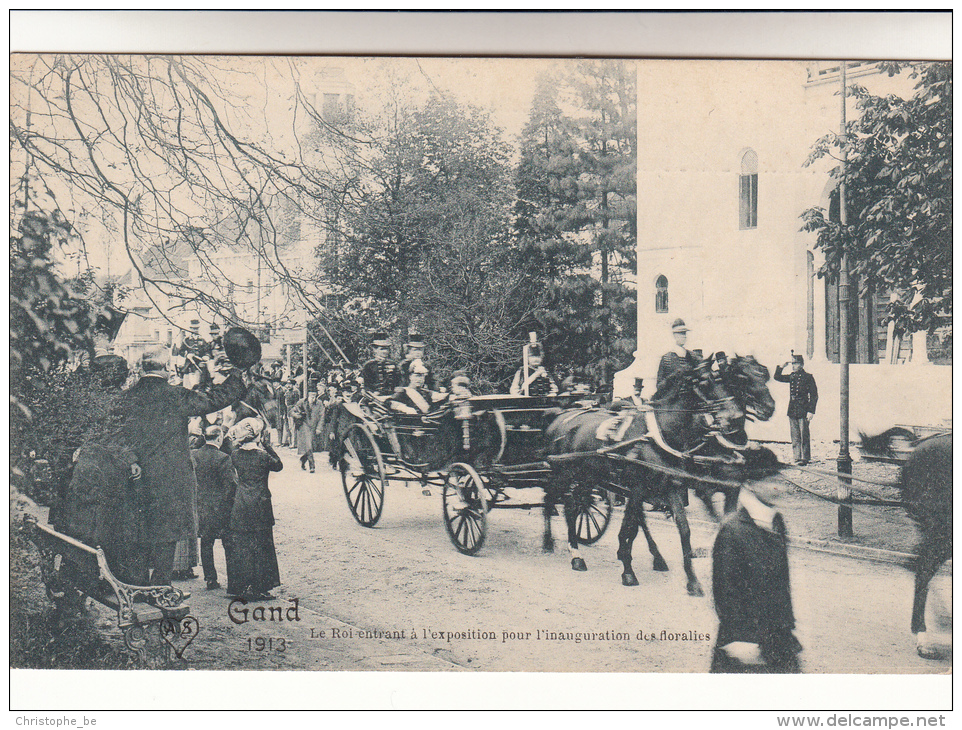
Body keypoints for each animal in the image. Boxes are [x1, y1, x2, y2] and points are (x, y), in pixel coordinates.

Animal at [540, 356, 744, 596]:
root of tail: (560, 416)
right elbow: (629, 527)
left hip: (588, 477)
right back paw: (558, 546)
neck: (657, 435)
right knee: (552, 499)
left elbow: (682, 529)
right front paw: (628, 570)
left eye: (720, 378)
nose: (735, 416)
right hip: (563, 474)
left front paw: (692, 581)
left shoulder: (670, 487)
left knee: (574, 504)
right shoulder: (637, 489)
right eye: (704, 382)